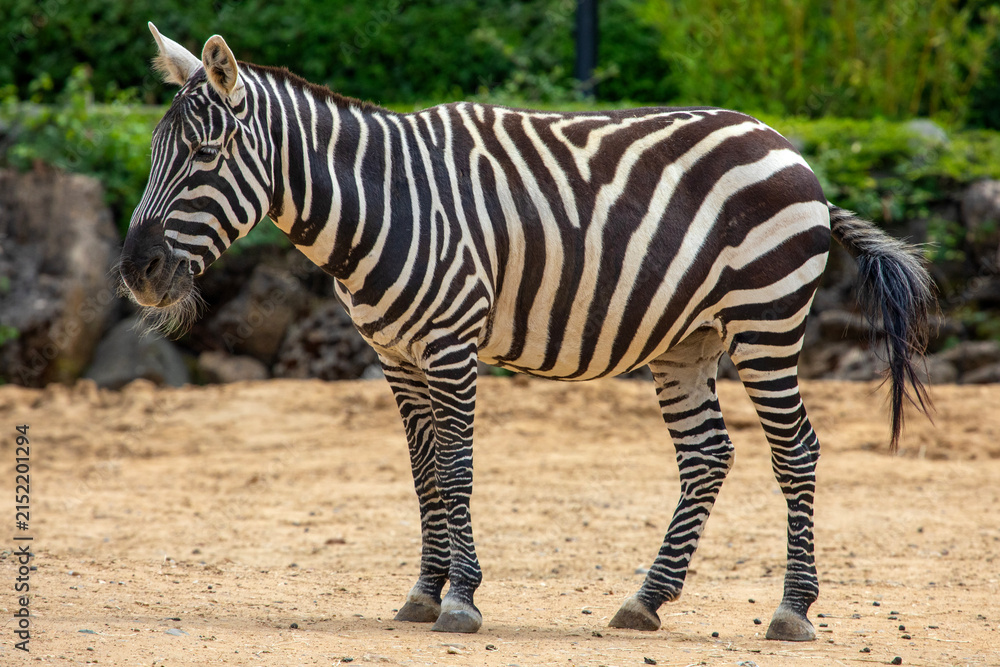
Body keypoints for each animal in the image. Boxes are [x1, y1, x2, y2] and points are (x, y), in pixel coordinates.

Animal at [120, 24, 933, 639]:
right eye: (155, 154)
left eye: (204, 156)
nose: (135, 270)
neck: (381, 204)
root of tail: (787, 146)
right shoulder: (396, 356)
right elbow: (423, 474)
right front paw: (424, 591)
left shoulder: (449, 345)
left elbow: (456, 469)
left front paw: (460, 599)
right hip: (687, 340)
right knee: (708, 454)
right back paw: (646, 600)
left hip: (767, 319)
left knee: (796, 450)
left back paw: (792, 610)